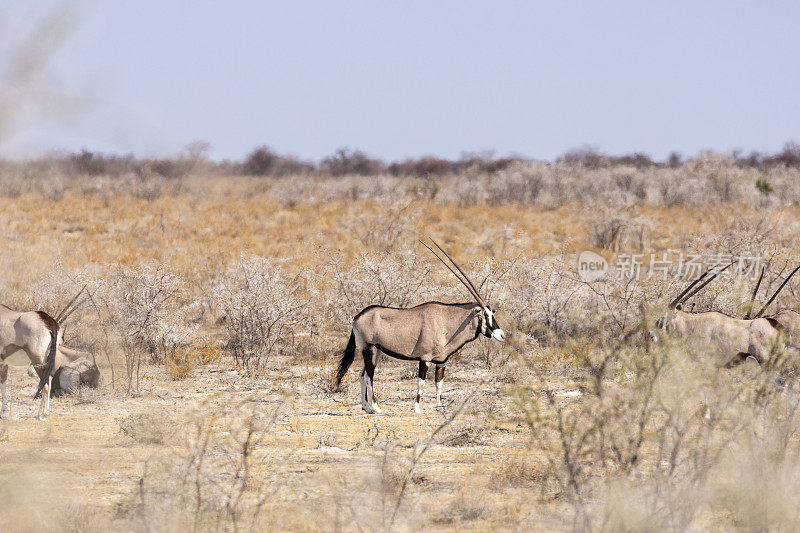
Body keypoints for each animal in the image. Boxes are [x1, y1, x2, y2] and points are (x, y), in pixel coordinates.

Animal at [0, 286, 86, 420]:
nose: (29, 372)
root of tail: (50, 324)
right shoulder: (4, 363)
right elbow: (3, 383)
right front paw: (4, 412)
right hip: (47, 361)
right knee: (48, 381)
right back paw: (47, 411)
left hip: (37, 360)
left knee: (44, 383)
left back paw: (41, 413)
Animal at [332, 239, 506, 414]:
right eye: (485, 315)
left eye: (492, 313)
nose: (501, 335)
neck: (446, 321)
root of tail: (357, 317)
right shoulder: (425, 359)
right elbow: (421, 382)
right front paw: (416, 408)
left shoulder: (442, 361)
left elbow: (439, 383)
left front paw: (439, 406)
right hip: (368, 348)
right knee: (369, 376)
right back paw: (376, 407)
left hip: (377, 351)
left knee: (362, 375)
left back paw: (366, 407)